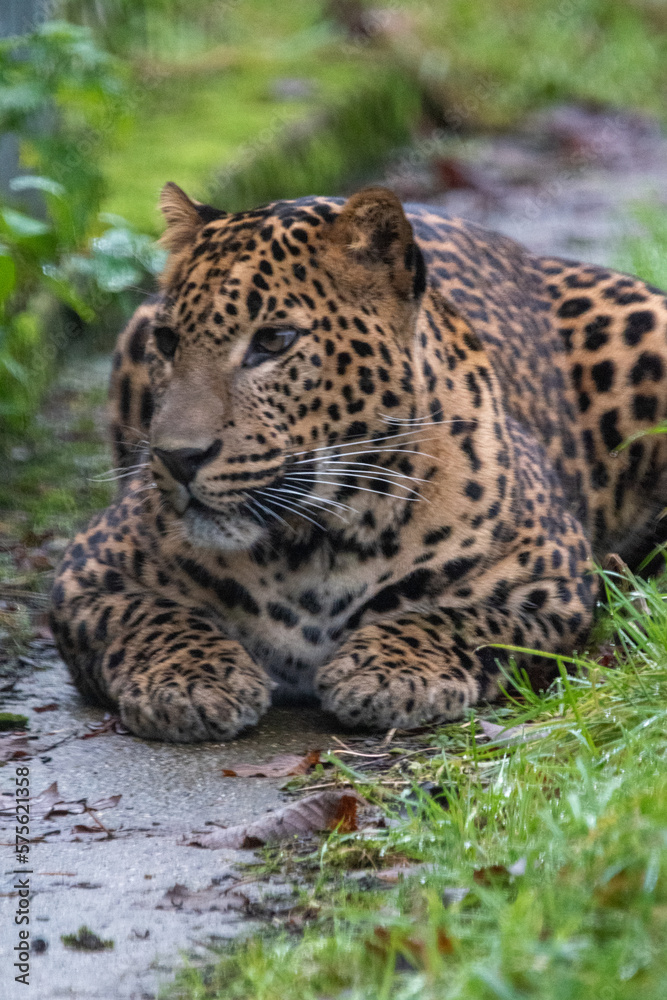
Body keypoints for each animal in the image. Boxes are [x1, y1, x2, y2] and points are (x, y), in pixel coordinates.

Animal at [49, 182, 667, 742]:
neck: (313, 547)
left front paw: (392, 671)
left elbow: (462, 616)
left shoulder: (555, 577)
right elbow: (149, 615)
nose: (177, 459)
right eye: (169, 341)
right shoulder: (85, 573)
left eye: (273, 341)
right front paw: (191, 680)